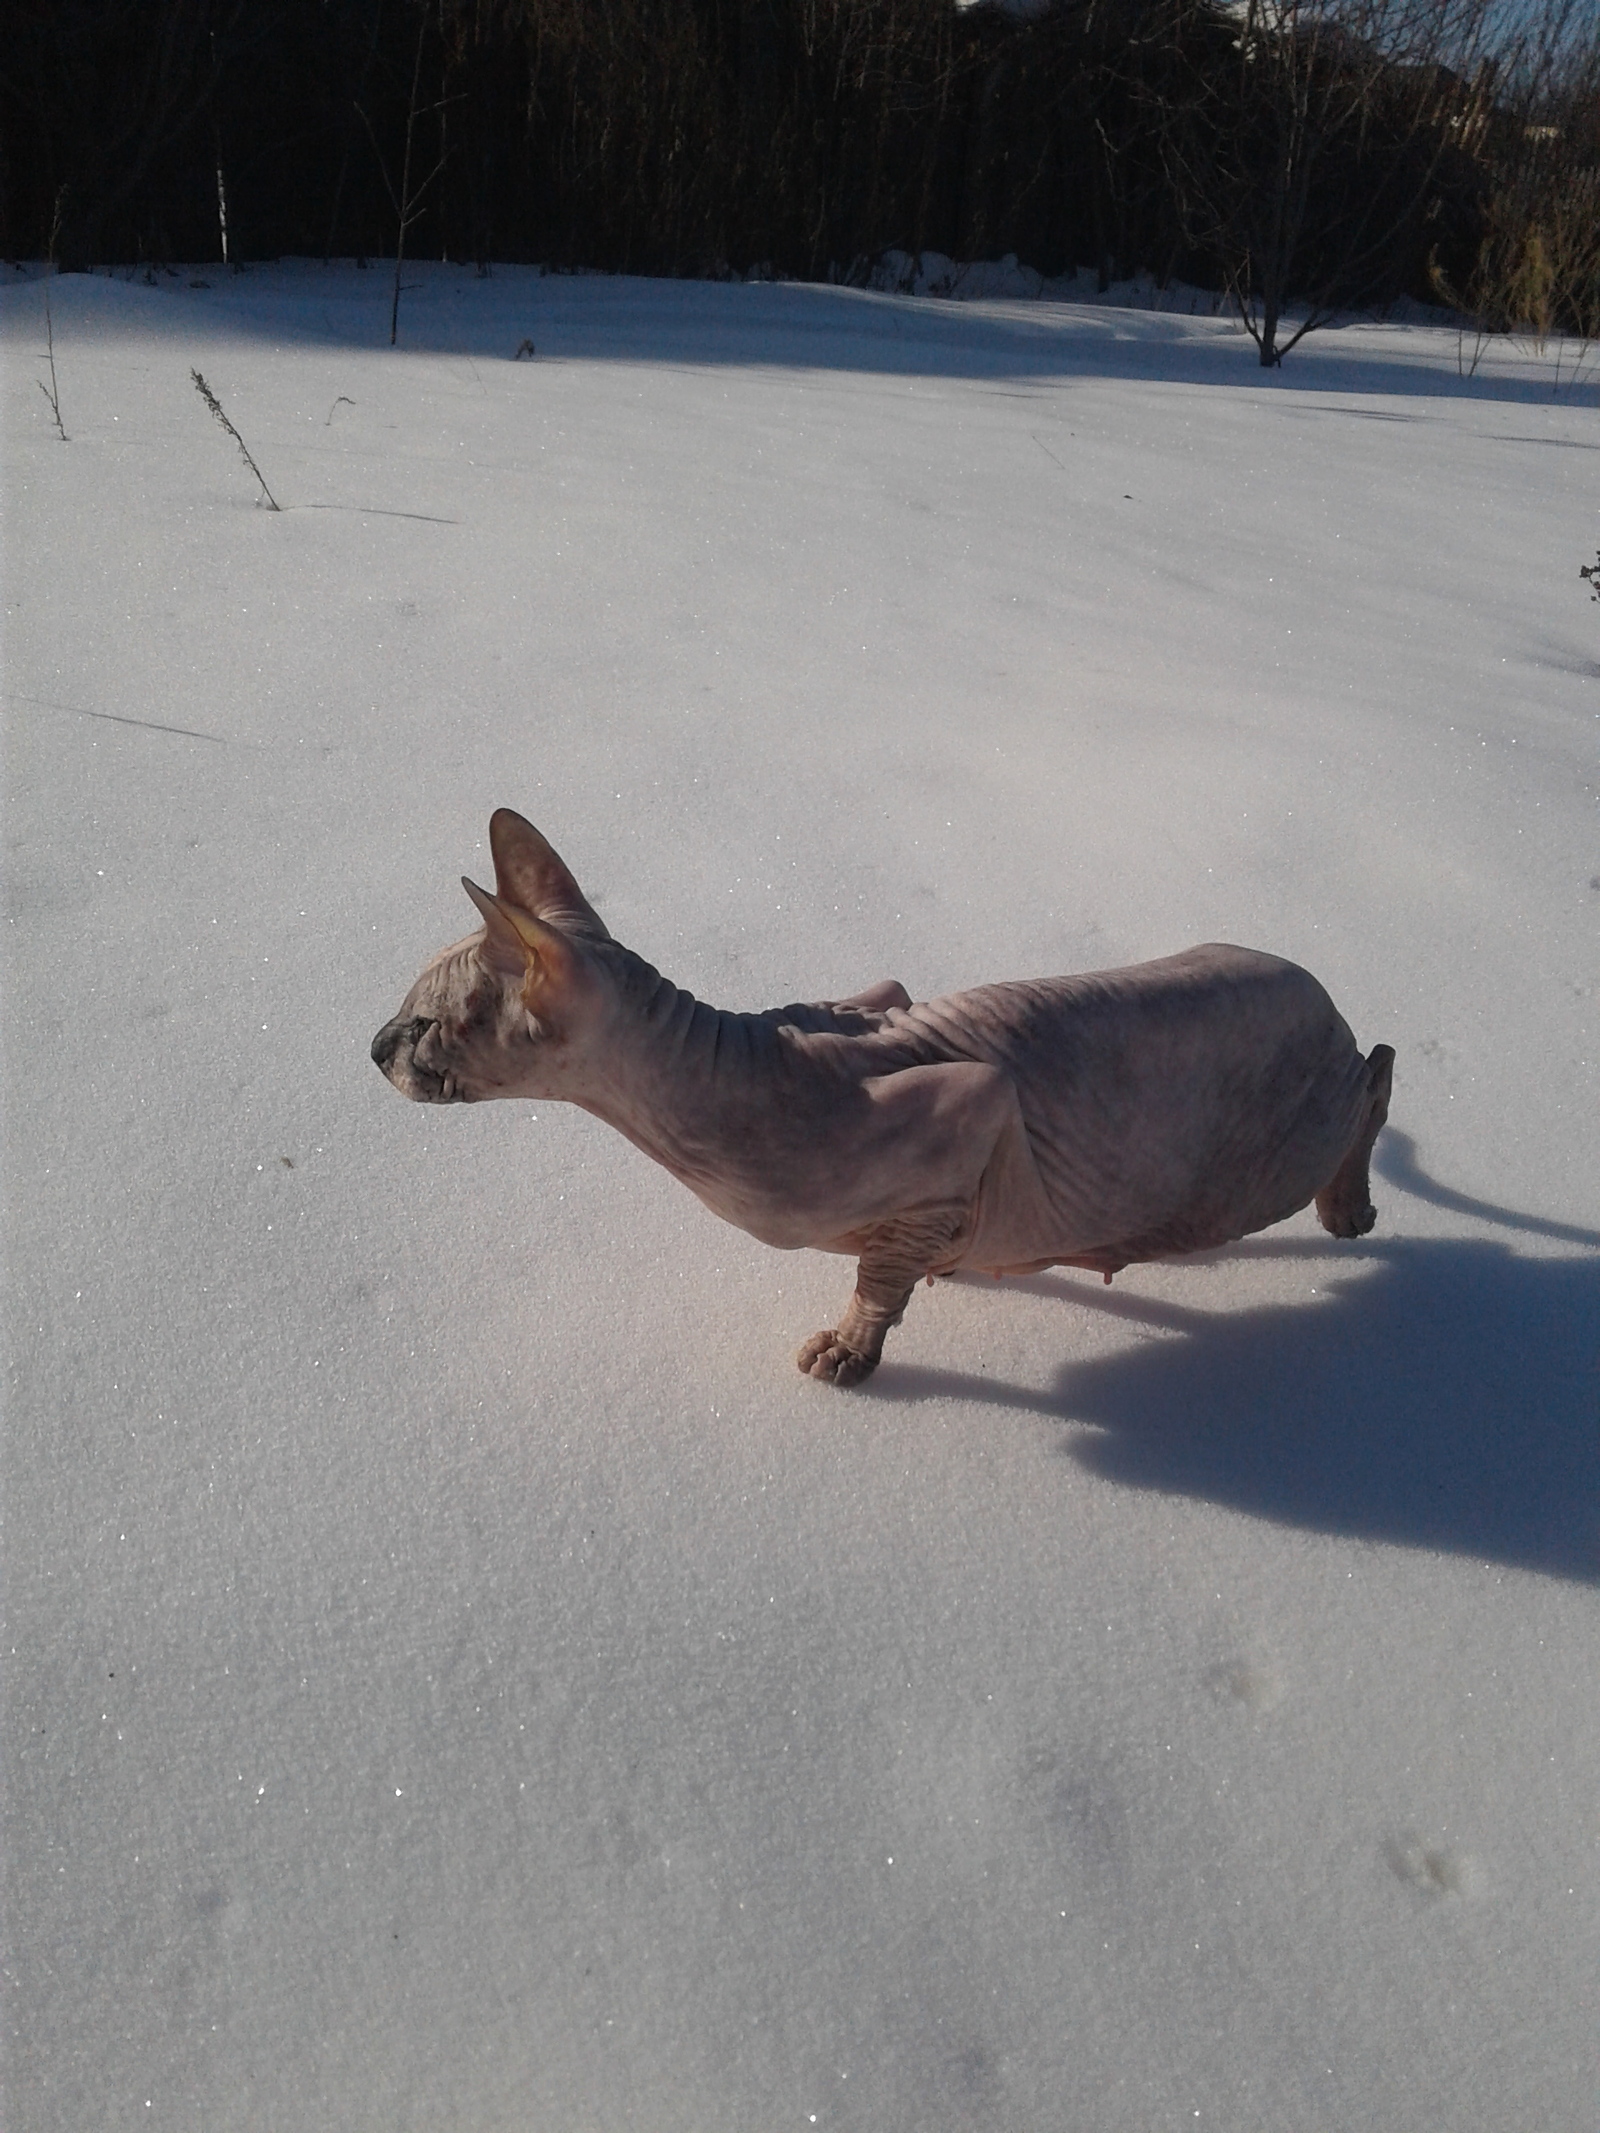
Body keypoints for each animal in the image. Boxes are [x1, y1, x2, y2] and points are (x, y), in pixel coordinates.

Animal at [373, 810, 1390, 1382]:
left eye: (427, 1024)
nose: (373, 1046)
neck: (713, 1074)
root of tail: (1317, 991)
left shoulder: (971, 1099)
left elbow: (882, 1273)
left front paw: (851, 1347)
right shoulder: (875, 1001)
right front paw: (943, 1263)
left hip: (1265, 1162)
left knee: (1375, 1075)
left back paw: (1351, 1202)